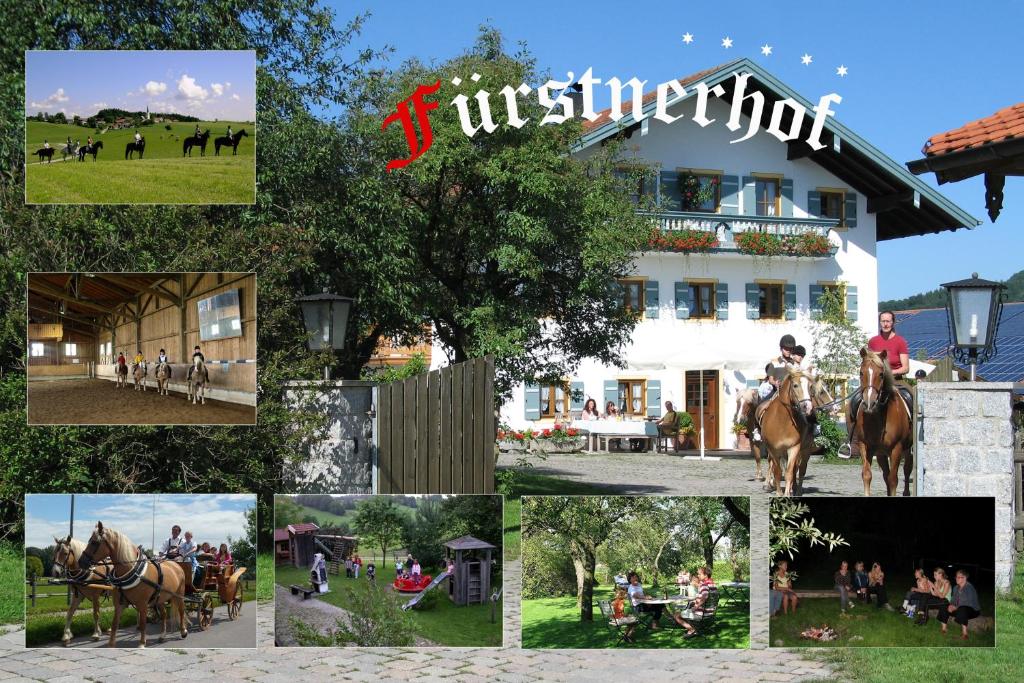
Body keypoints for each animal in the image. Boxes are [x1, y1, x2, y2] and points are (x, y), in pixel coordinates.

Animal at [78, 520, 189, 651]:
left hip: (179, 595)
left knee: (181, 611)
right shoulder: (119, 604)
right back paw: (162, 635)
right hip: (160, 598)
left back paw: (183, 631)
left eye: (94, 542)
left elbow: (143, 623)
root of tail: (176, 565)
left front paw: (142, 643)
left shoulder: (143, 604)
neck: (132, 570)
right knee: (164, 614)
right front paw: (111, 644)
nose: (80, 562)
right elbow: (115, 624)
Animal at [761, 368, 815, 497]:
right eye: (795, 385)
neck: (781, 422)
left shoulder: (794, 448)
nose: (807, 407)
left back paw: (797, 490)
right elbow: (777, 471)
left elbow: (790, 472)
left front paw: (786, 494)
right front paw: (779, 493)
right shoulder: (773, 450)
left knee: (801, 469)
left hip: (805, 450)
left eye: (810, 386)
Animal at [847, 350, 913, 493]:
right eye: (861, 373)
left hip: (907, 449)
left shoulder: (896, 449)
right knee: (886, 475)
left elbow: (893, 480)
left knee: (906, 470)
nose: (869, 403)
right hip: (881, 453)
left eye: (881, 374)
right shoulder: (865, 446)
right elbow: (867, 475)